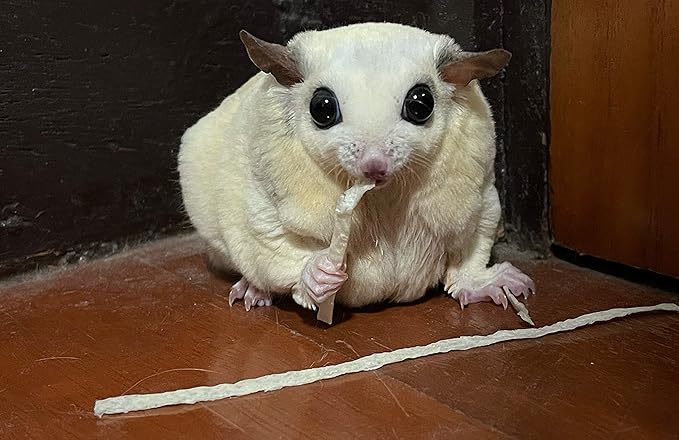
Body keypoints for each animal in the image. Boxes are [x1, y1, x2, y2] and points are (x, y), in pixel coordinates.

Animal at [178, 22, 534, 312]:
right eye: (322, 108)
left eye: (421, 104)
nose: (374, 166)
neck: (382, 192)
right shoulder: (262, 189)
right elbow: (269, 235)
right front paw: (317, 274)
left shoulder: (478, 192)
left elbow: (472, 241)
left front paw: (482, 283)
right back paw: (254, 290)